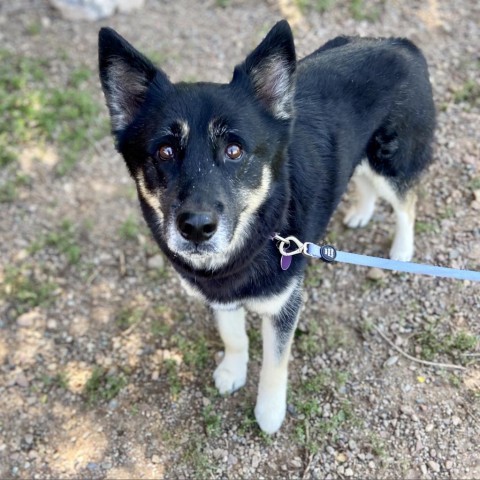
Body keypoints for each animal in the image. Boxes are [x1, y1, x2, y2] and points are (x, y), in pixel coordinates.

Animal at [97, 20, 436, 436]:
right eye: (165, 151)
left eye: (234, 150)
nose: (196, 228)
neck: (255, 238)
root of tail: (399, 43)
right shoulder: (221, 297)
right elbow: (233, 336)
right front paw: (232, 370)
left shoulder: (283, 305)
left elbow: (276, 361)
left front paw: (269, 411)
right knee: (363, 180)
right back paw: (361, 211)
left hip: (392, 160)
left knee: (407, 201)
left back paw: (402, 249)